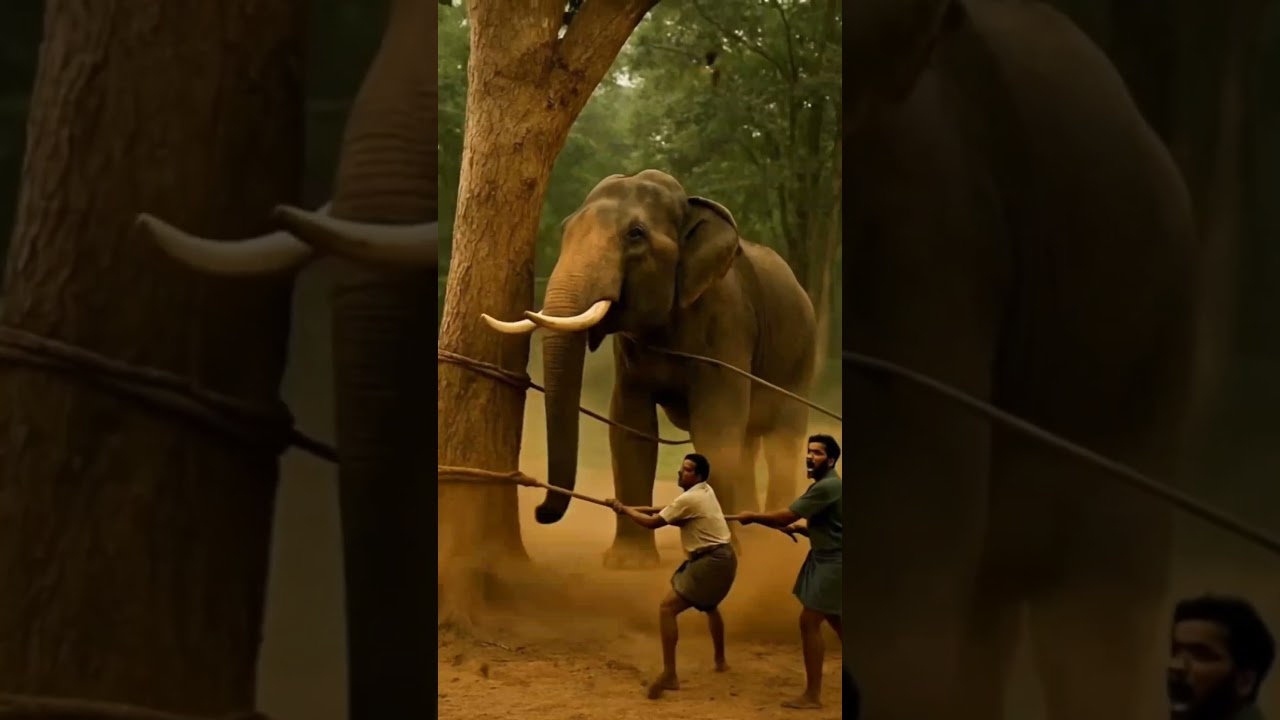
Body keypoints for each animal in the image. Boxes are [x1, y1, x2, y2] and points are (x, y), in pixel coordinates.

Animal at [482, 169, 819, 568]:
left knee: (783, 437)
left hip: (801, 356)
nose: (539, 512)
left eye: (635, 234)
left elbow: (715, 427)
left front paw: (729, 549)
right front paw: (628, 562)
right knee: (750, 441)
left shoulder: (728, 324)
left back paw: (771, 547)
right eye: (566, 228)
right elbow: (631, 426)